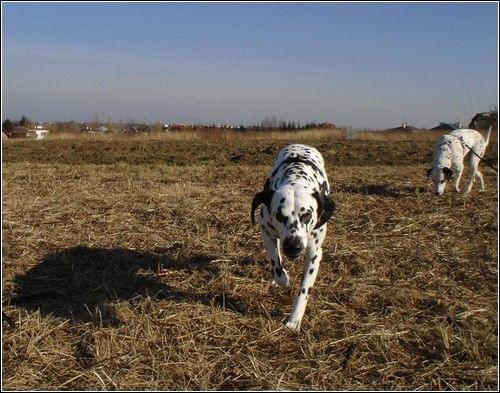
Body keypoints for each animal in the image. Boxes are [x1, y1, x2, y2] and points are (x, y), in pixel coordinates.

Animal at [250, 142, 336, 332]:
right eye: (280, 216)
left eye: (307, 215)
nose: (293, 246)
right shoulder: (266, 233)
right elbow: (277, 265)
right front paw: (282, 277)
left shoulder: (314, 253)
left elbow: (304, 290)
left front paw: (294, 320)